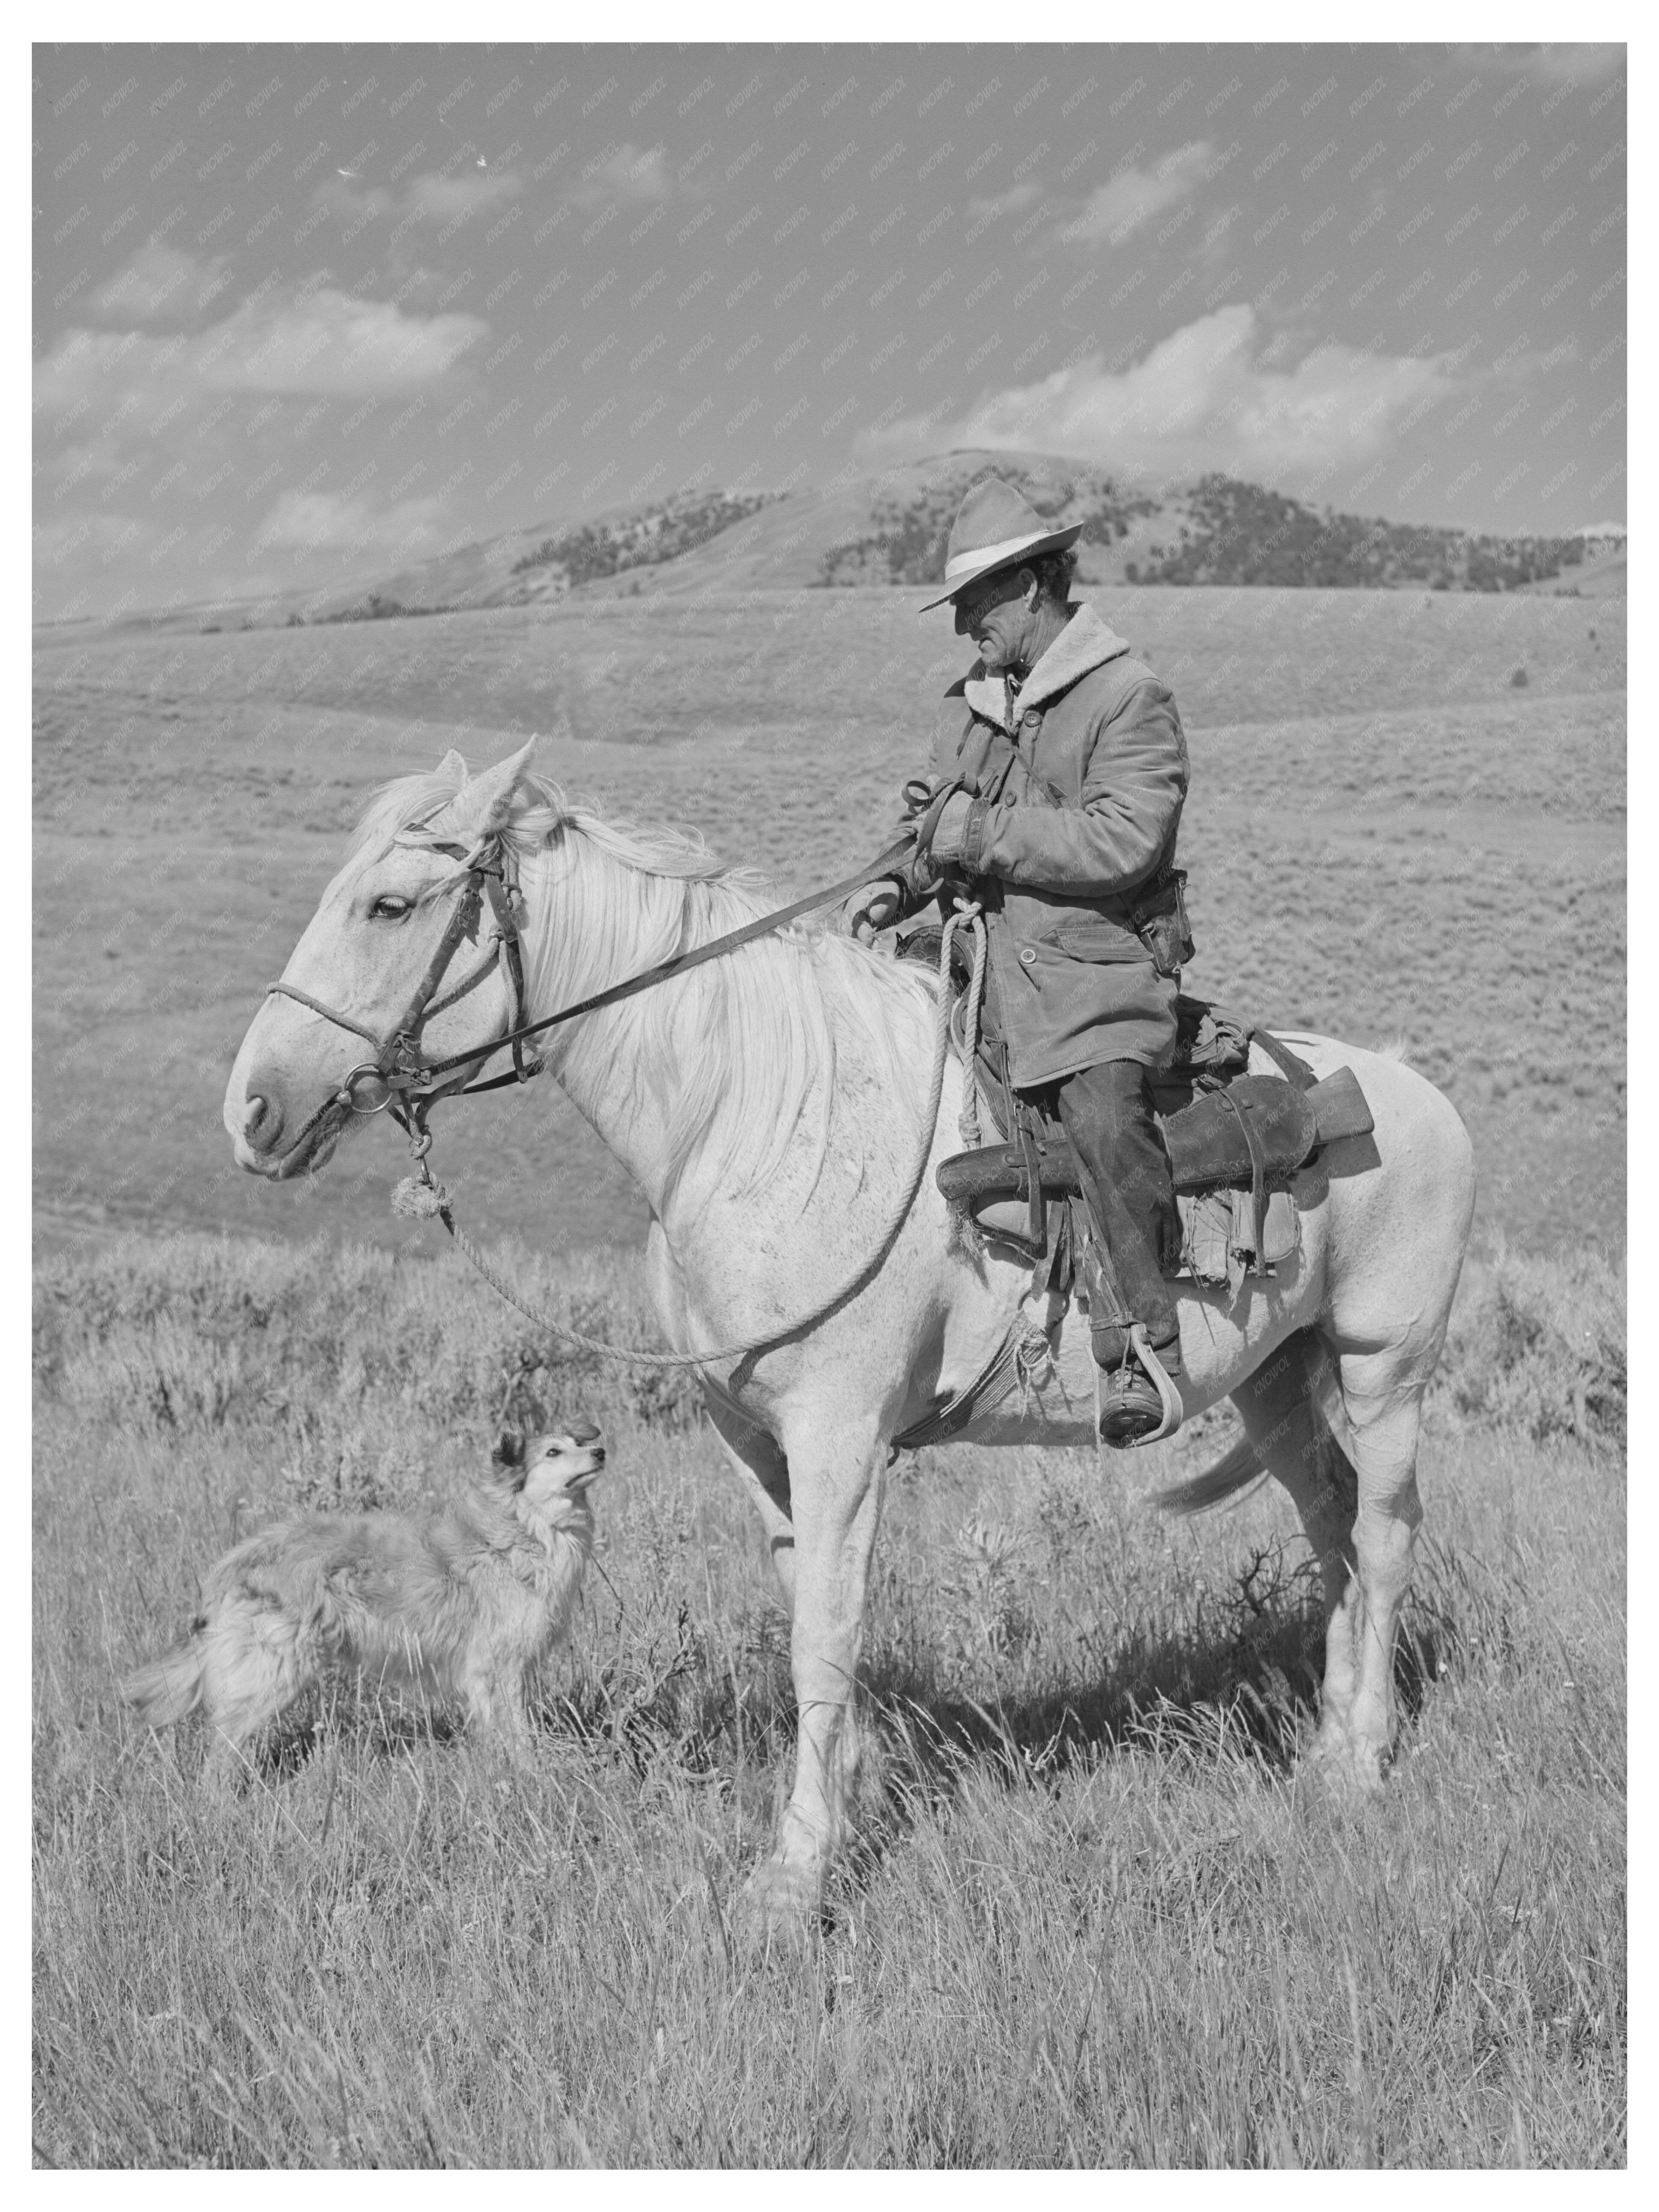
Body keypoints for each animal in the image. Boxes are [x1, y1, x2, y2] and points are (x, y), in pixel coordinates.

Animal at [121, 1424, 606, 1769]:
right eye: (553, 1453)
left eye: (577, 1443)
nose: (601, 1451)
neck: (518, 1532)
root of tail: (240, 1559)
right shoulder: (497, 1668)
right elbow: (516, 1735)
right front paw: (531, 1775)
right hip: (274, 1673)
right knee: (222, 1747)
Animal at [224, 743, 1477, 1920]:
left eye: (391, 904)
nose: (253, 1109)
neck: (752, 1116)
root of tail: (1415, 1092)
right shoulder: (750, 1435)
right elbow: (807, 1604)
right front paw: (855, 1790)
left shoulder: (839, 1433)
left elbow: (825, 1624)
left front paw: (794, 1875)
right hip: (1275, 1379)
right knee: (1331, 1525)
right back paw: (1322, 1748)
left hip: (1383, 1369)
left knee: (1383, 1534)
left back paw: (1363, 1763)